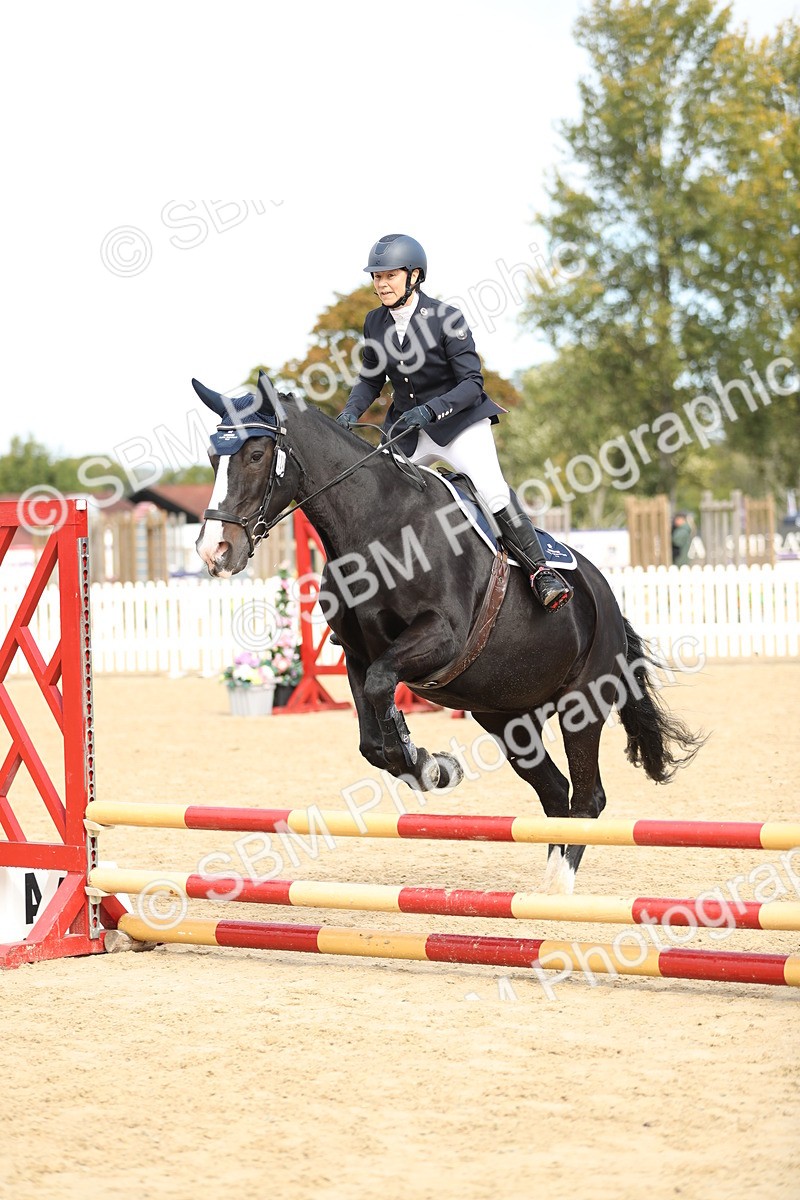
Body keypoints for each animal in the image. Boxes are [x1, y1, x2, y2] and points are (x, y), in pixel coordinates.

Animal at [193, 374, 702, 893]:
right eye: (214, 457)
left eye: (257, 454)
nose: (215, 552)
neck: (378, 528)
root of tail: (605, 595)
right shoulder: (356, 652)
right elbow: (372, 737)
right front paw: (428, 765)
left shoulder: (440, 638)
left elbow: (383, 685)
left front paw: (427, 762)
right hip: (505, 717)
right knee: (556, 792)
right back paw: (545, 883)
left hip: (583, 704)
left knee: (587, 797)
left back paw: (559, 889)